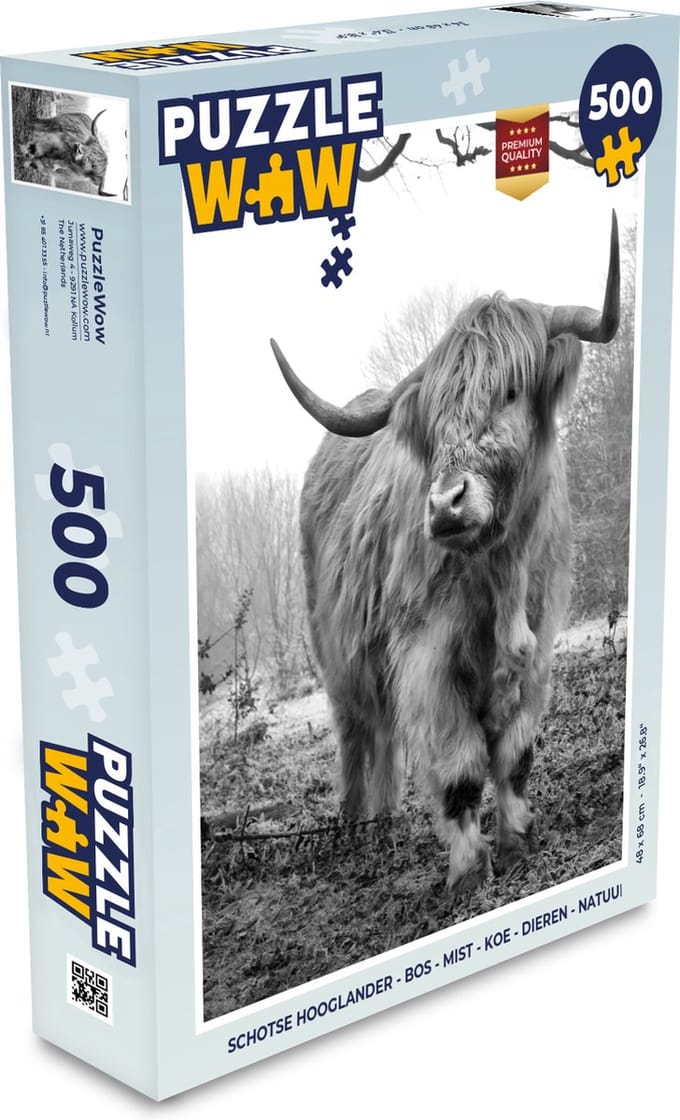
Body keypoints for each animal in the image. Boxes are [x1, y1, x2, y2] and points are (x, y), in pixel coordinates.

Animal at [270, 212, 620, 892]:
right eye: (433, 420)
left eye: (510, 390)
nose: (445, 505)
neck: (501, 576)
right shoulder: (425, 661)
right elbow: (459, 770)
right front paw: (468, 871)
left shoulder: (540, 647)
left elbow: (515, 756)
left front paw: (517, 841)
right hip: (338, 658)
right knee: (360, 737)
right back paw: (359, 827)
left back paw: (384, 823)